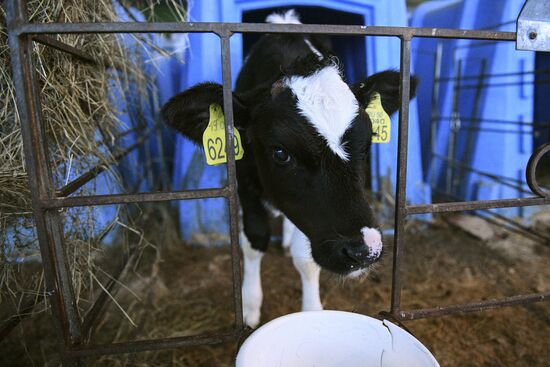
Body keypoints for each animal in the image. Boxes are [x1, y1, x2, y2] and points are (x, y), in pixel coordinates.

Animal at [162, 10, 420, 330]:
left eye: (365, 144)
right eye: (281, 153)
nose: (364, 250)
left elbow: (304, 258)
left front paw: (311, 311)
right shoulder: (244, 181)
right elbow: (254, 240)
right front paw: (249, 306)